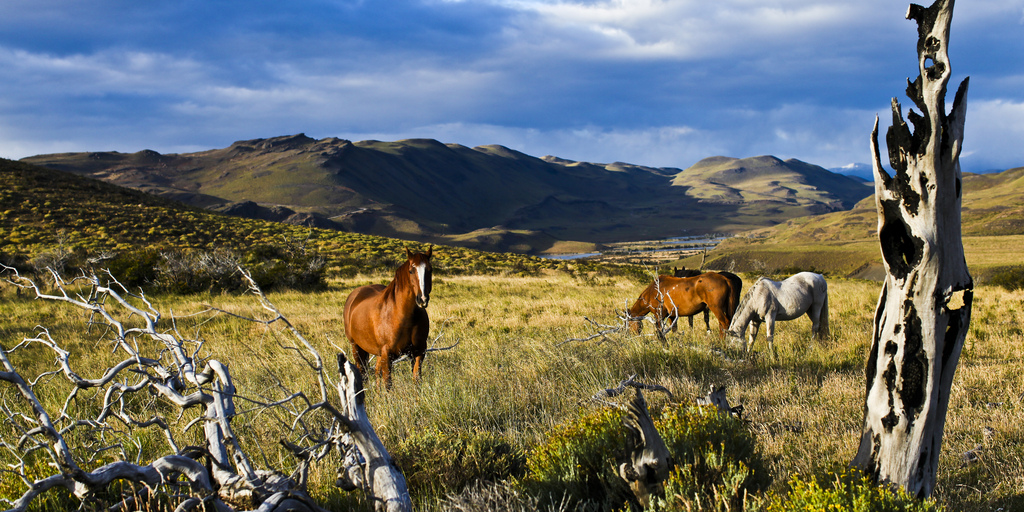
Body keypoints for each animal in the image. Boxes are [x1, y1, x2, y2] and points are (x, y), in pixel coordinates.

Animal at [344, 247, 432, 387]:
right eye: (411, 270)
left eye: (430, 270)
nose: (422, 299)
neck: (404, 316)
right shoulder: (387, 354)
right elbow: (388, 384)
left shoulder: (419, 352)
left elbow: (416, 381)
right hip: (356, 348)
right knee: (363, 372)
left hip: (378, 353)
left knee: (376, 373)